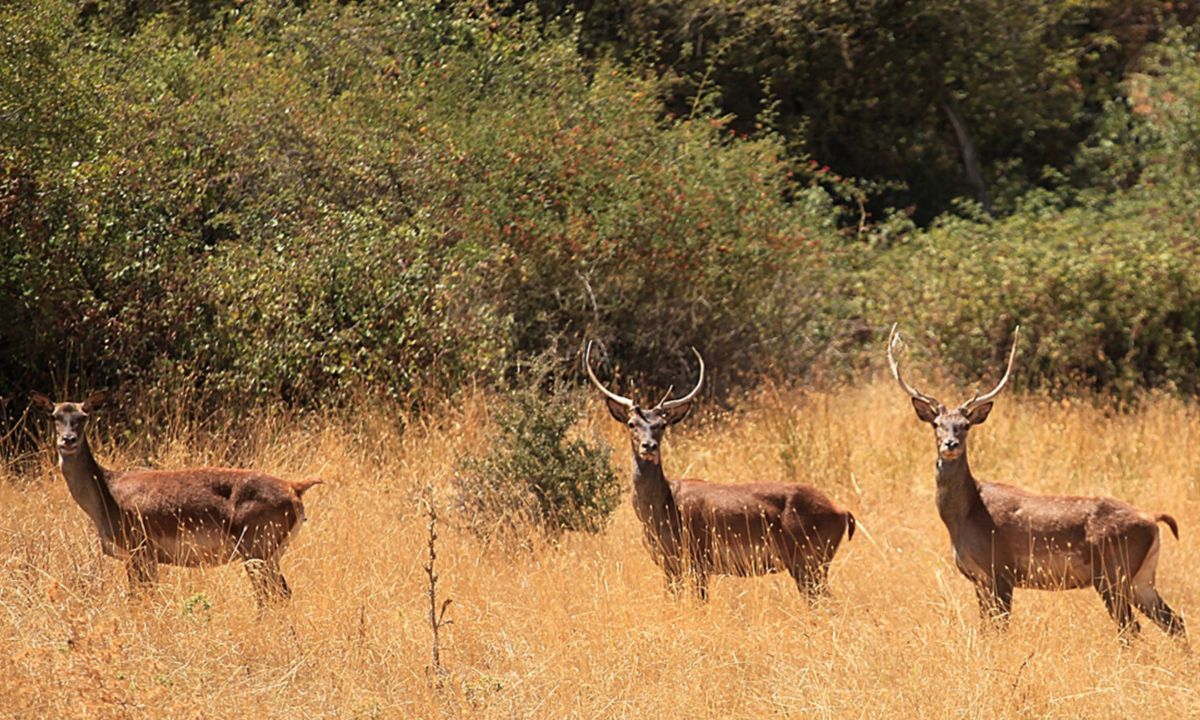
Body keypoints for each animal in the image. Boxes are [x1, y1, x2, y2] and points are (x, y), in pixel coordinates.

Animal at [32, 391, 321, 604]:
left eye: (83, 416)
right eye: (54, 416)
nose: (68, 439)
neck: (105, 497)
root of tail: (295, 488)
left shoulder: (140, 548)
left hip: (258, 545)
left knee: (273, 595)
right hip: (269, 552)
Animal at [583, 343, 854, 602]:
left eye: (661, 425)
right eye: (632, 424)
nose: (649, 446)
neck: (662, 511)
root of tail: (843, 512)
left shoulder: (700, 558)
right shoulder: (669, 565)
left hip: (809, 559)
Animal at [888, 324, 1185, 638]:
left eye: (965, 425)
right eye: (937, 424)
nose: (950, 444)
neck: (965, 517)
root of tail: (1152, 519)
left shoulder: (1001, 569)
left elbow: (1000, 628)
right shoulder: (978, 578)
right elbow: (984, 628)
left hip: (1113, 570)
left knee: (1131, 627)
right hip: (1142, 576)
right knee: (1175, 622)